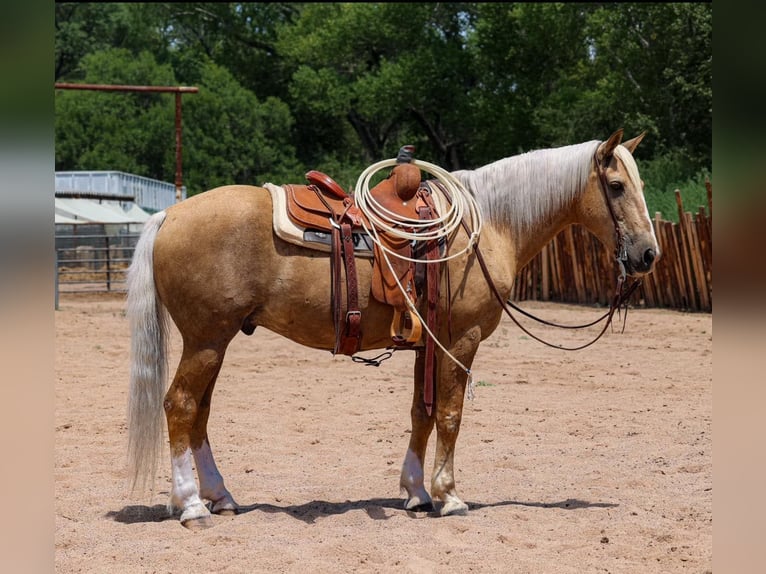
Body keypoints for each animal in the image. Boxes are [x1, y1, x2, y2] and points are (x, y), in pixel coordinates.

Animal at [126, 128, 659, 529]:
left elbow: (421, 414)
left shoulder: (430, 344)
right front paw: (449, 495)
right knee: (181, 406)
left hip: (216, 341)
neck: (487, 226)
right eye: (616, 186)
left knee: (199, 413)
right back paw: (191, 505)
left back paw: (220, 496)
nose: (647, 254)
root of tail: (169, 214)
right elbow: (450, 416)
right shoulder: (461, 340)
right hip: (206, 340)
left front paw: (416, 492)